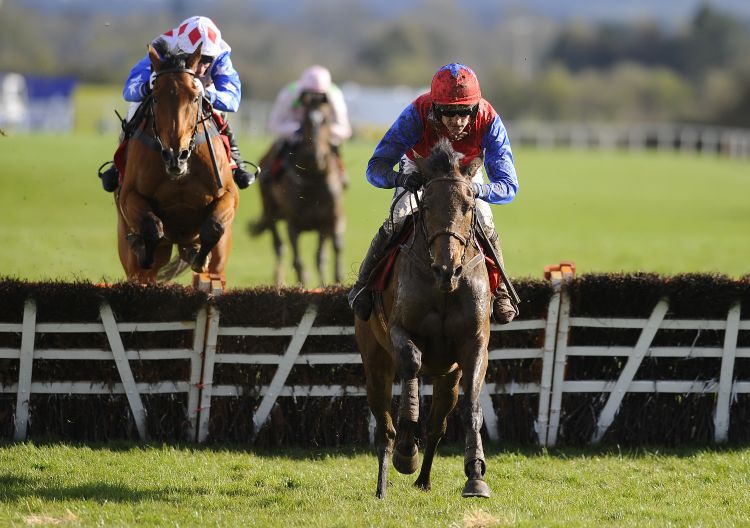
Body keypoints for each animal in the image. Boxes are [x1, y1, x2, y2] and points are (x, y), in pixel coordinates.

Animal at [115, 40, 238, 284]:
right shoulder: (128, 196)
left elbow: (214, 226)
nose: (175, 155)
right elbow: (152, 227)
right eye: (155, 97)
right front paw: (142, 248)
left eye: (195, 97)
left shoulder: (229, 194)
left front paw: (200, 258)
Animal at [253, 93, 346, 286]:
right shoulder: (293, 224)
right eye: (304, 121)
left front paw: (327, 284)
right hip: (269, 209)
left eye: (326, 120)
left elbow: (323, 256)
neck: (314, 179)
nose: (316, 156)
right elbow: (298, 261)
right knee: (279, 247)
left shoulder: (327, 220)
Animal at [356, 137, 494, 500]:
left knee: (437, 426)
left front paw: (476, 475)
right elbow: (411, 360)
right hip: (374, 362)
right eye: (428, 205)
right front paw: (407, 449)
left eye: (468, 206)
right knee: (385, 427)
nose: (448, 269)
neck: (443, 287)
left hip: (448, 377)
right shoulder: (398, 330)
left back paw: (424, 479)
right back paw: (384, 484)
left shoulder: (474, 345)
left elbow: (471, 406)